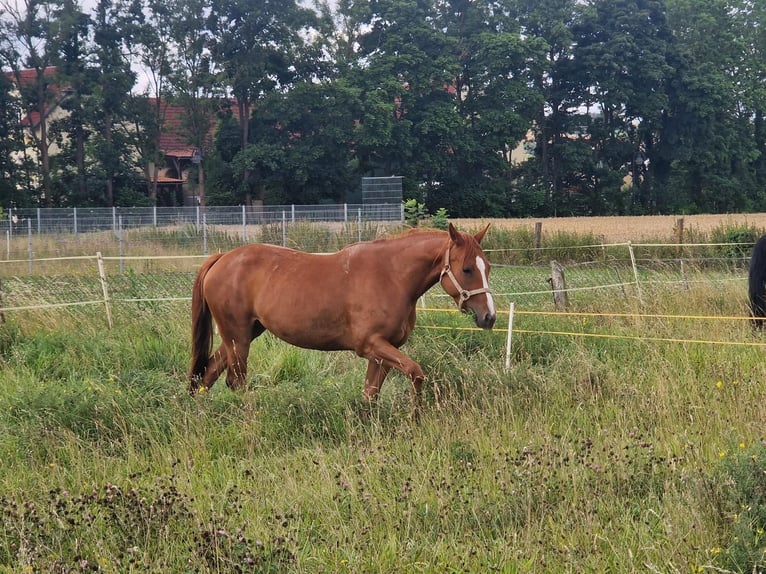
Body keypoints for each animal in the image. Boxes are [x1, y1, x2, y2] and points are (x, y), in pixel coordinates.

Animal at [189, 222, 496, 409]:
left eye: (487, 266)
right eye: (467, 269)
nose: (489, 317)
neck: (391, 275)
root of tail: (221, 258)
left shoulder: (382, 353)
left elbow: (370, 395)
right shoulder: (372, 345)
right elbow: (416, 373)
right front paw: (415, 417)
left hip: (244, 334)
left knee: (209, 372)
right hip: (238, 338)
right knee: (234, 381)